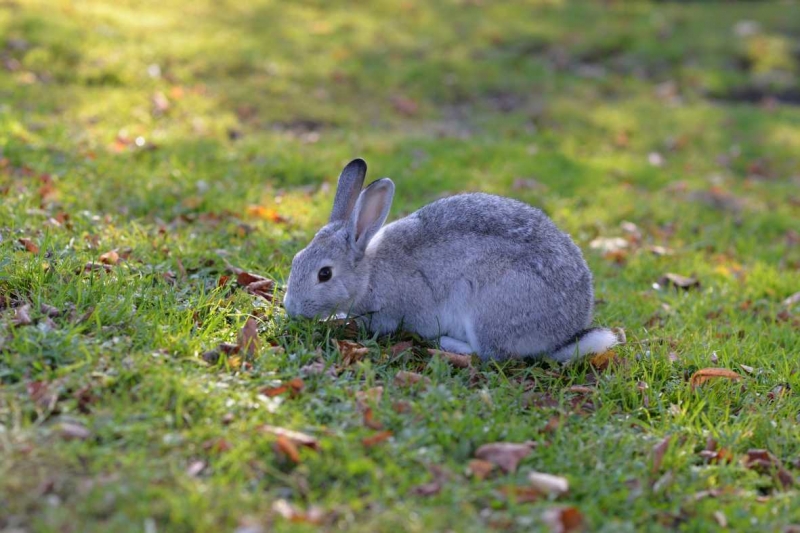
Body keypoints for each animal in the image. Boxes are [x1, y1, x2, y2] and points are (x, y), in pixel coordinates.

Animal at [282, 156, 624, 360]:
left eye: (324, 274)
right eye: (296, 259)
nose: (291, 308)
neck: (368, 271)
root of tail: (563, 336)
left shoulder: (389, 312)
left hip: (487, 311)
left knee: (488, 354)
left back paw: (446, 343)